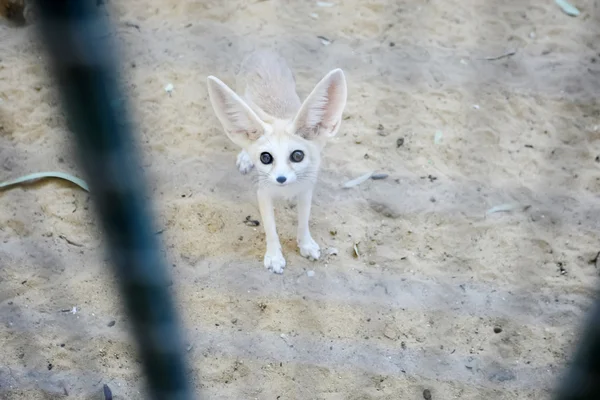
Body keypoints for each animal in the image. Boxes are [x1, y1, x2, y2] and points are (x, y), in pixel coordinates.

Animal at [206, 49, 346, 276]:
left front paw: (306, 244)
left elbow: (303, 221)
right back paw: (245, 156)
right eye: (265, 157)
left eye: (297, 156)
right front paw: (274, 257)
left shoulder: (306, 189)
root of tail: (262, 51)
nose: (281, 179)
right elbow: (270, 228)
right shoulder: (263, 192)